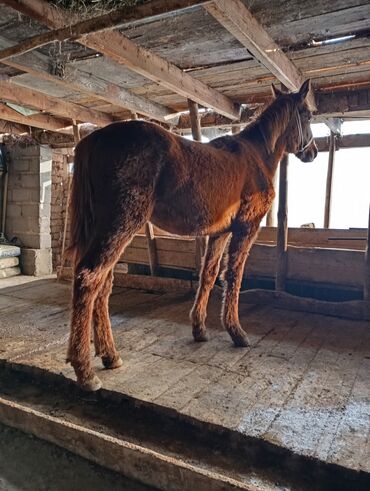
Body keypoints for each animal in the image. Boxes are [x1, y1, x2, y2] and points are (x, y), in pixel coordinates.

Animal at [67, 79, 318, 390]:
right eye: (307, 115)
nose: (313, 152)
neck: (256, 155)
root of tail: (94, 139)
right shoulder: (246, 227)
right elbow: (234, 277)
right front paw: (236, 332)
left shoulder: (220, 233)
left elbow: (209, 275)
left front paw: (199, 328)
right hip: (120, 225)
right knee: (89, 278)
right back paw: (85, 371)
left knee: (103, 284)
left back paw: (109, 355)